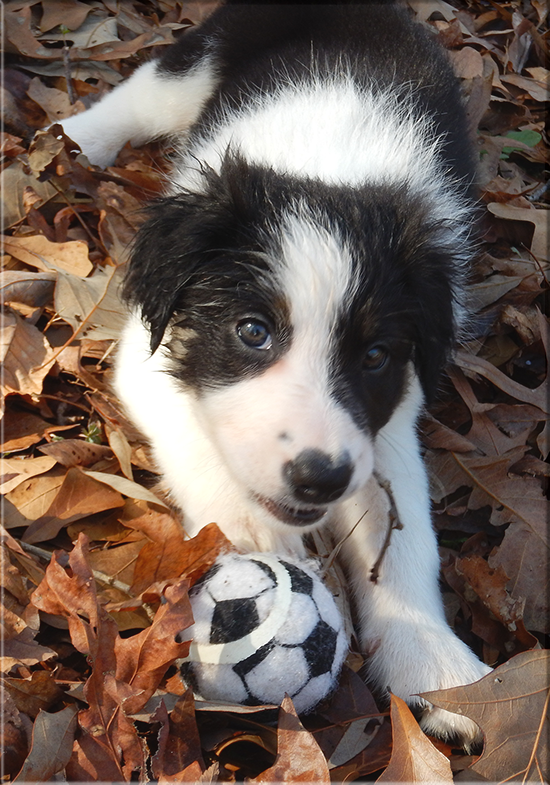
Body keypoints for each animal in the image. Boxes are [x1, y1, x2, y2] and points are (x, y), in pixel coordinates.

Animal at [59, 0, 492, 744]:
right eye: (252, 332)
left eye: (374, 356)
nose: (320, 478)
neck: (329, 175)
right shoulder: (147, 353)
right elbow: (194, 434)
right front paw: (252, 530)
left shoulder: (386, 416)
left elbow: (403, 525)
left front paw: (434, 661)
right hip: (200, 58)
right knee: (140, 95)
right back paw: (75, 138)